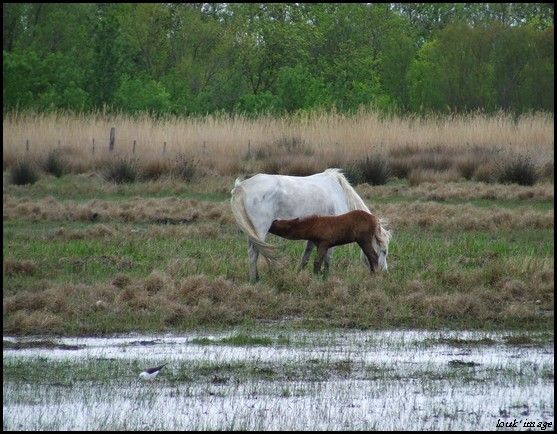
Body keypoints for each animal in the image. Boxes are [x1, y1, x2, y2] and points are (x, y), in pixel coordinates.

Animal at [228, 166, 388, 282]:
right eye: (384, 251)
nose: (383, 272)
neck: (338, 190)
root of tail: (242, 186)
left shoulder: (315, 236)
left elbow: (306, 256)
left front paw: (300, 273)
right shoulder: (331, 237)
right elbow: (327, 258)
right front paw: (325, 277)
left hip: (252, 232)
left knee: (252, 253)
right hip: (260, 230)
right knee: (255, 253)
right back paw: (255, 280)